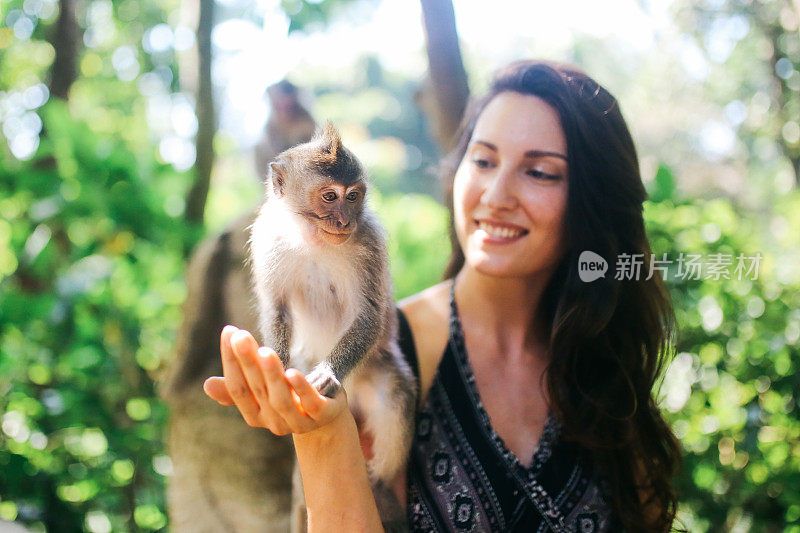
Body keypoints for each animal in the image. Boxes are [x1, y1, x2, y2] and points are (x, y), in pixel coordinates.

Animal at [248, 121, 412, 532]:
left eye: (353, 196)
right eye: (329, 196)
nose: (345, 221)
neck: (313, 241)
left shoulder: (368, 243)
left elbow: (369, 315)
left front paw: (327, 374)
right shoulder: (268, 239)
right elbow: (276, 308)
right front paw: (273, 363)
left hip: (375, 372)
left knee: (396, 397)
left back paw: (379, 477)